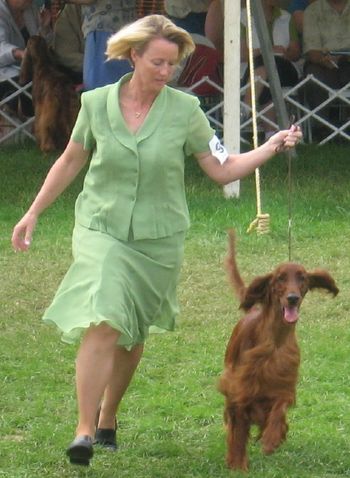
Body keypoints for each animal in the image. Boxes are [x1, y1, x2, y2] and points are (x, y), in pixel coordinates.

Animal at [219, 230, 340, 472]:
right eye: (280, 278)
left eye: (302, 277)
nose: (292, 298)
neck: (274, 340)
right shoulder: (240, 388)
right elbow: (238, 430)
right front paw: (237, 463)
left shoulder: (283, 382)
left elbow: (279, 409)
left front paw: (272, 438)